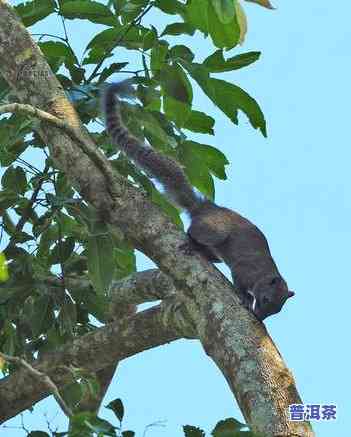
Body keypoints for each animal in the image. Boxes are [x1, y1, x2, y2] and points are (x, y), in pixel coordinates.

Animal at [102, 82, 294, 320]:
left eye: (277, 310)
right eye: (266, 299)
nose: (260, 317)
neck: (263, 274)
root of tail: (205, 207)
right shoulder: (243, 270)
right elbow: (240, 284)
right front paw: (246, 299)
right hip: (215, 229)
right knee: (194, 232)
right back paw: (191, 244)